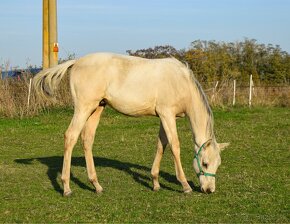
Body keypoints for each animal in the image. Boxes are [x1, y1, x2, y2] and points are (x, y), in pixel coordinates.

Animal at [33, 52, 229, 196]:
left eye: (218, 164)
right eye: (205, 163)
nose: (209, 190)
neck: (181, 82)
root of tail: (77, 62)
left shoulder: (164, 117)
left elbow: (161, 145)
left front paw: (155, 182)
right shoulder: (167, 115)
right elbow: (174, 146)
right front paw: (185, 185)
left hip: (97, 108)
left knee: (87, 140)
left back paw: (96, 185)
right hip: (84, 108)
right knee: (71, 137)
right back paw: (66, 188)